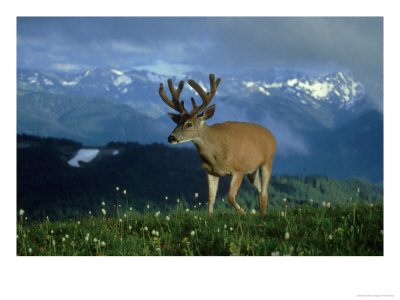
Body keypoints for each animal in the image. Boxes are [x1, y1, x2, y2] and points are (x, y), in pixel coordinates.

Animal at [158, 73, 276, 214]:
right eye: (177, 122)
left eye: (189, 124)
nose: (171, 137)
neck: (216, 154)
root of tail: (272, 136)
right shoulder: (211, 172)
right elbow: (211, 198)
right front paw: (210, 217)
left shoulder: (238, 169)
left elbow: (230, 197)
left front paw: (244, 212)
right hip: (251, 170)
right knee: (260, 188)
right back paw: (261, 214)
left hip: (267, 161)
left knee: (264, 191)